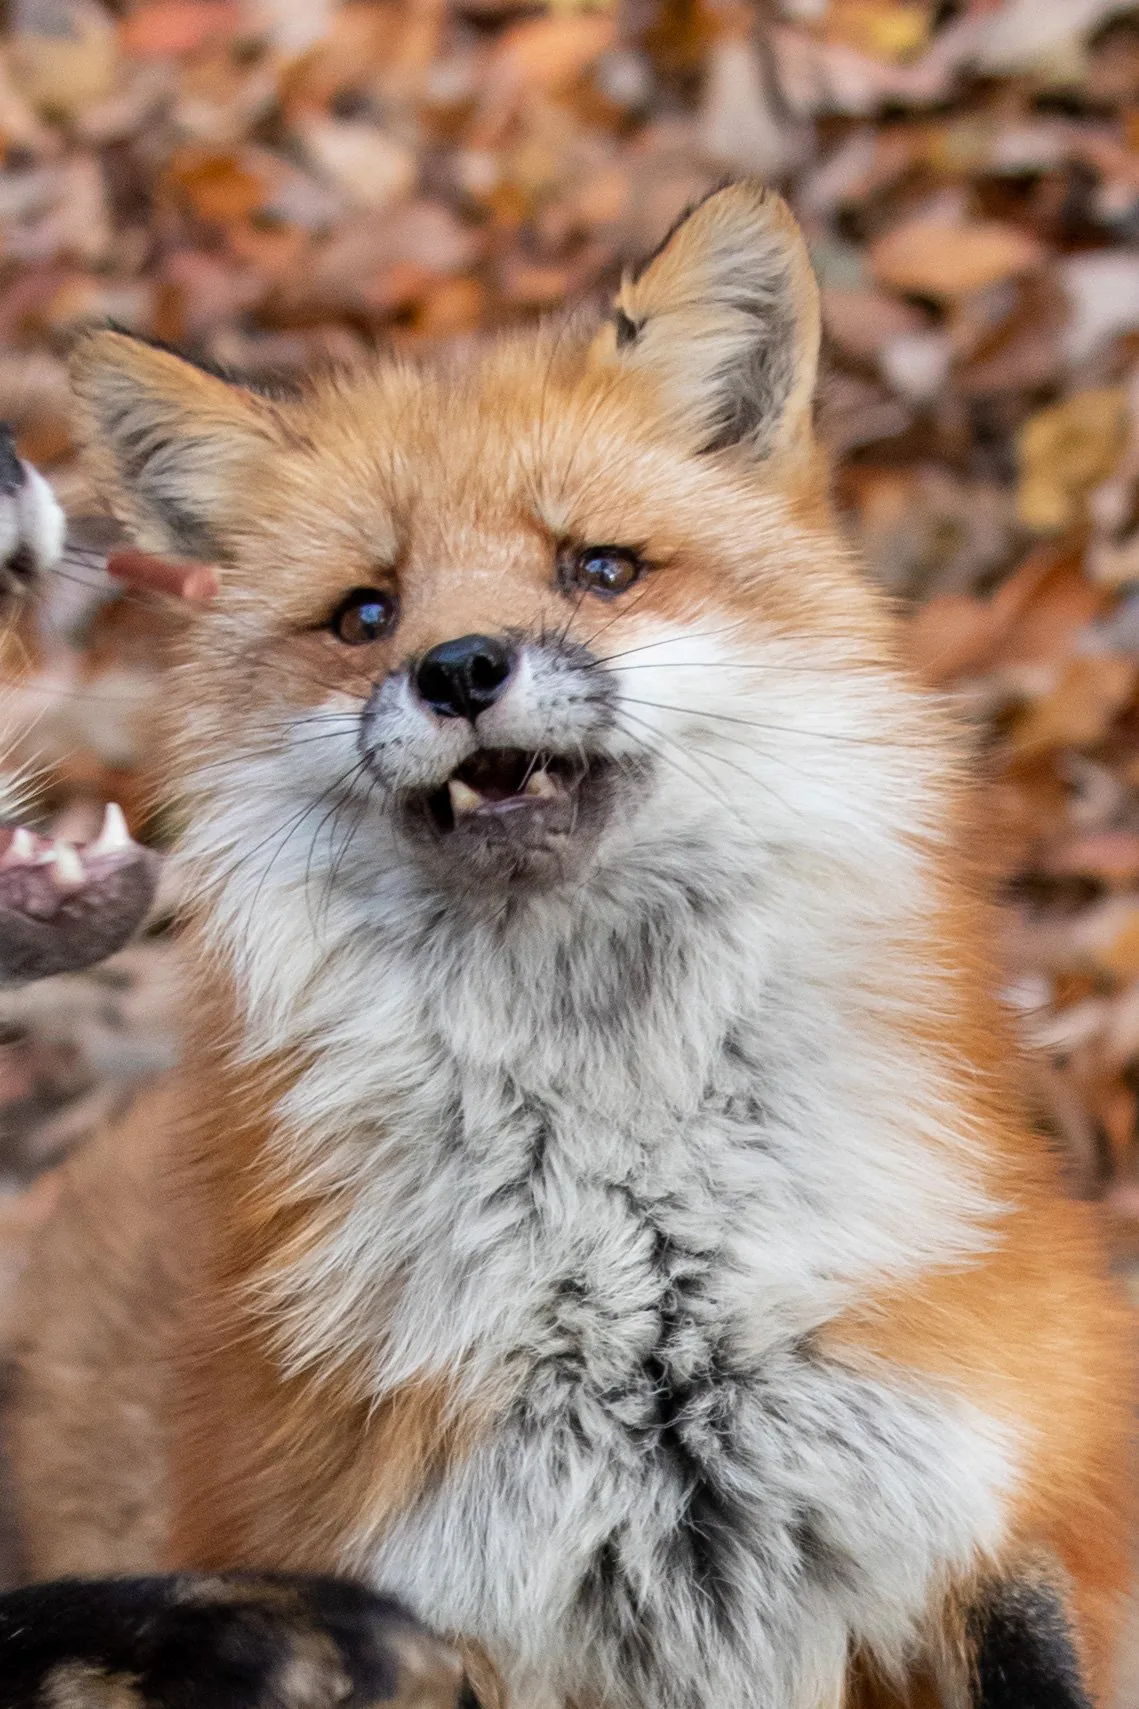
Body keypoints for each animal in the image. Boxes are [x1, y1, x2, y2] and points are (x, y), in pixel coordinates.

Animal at [6, 180, 1133, 1709]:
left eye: (597, 568)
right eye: (364, 614)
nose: (460, 667)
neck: (647, 1286)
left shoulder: (984, 1496)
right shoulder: (428, 1597)